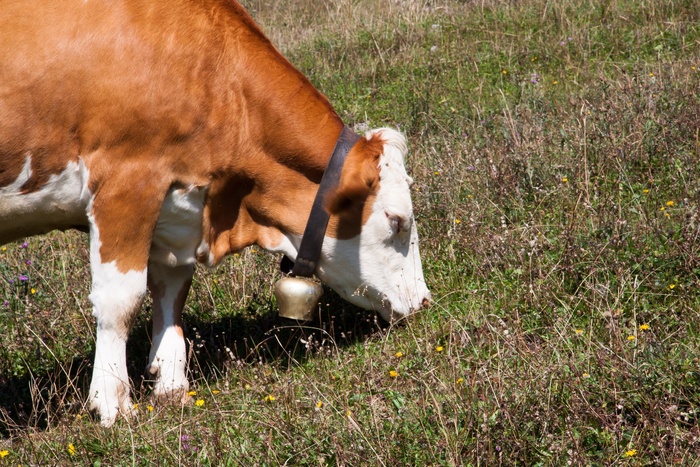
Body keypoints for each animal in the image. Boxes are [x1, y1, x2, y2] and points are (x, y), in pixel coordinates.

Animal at [0, 0, 430, 428]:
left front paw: (172, 386)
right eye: (396, 220)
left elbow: (172, 290)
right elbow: (120, 301)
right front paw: (113, 403)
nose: (425, 301)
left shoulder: (175, 209)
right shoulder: (127, 183)